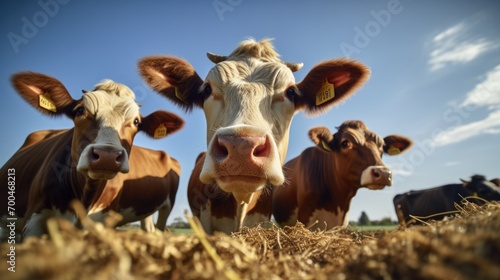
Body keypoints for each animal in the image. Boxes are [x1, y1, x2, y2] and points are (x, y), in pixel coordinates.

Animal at [0, 72, 184, 241]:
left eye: (136, 122)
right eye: (80, 110)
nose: (107, 155)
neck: (85, 196)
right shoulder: (34, 221)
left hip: (167, 206)